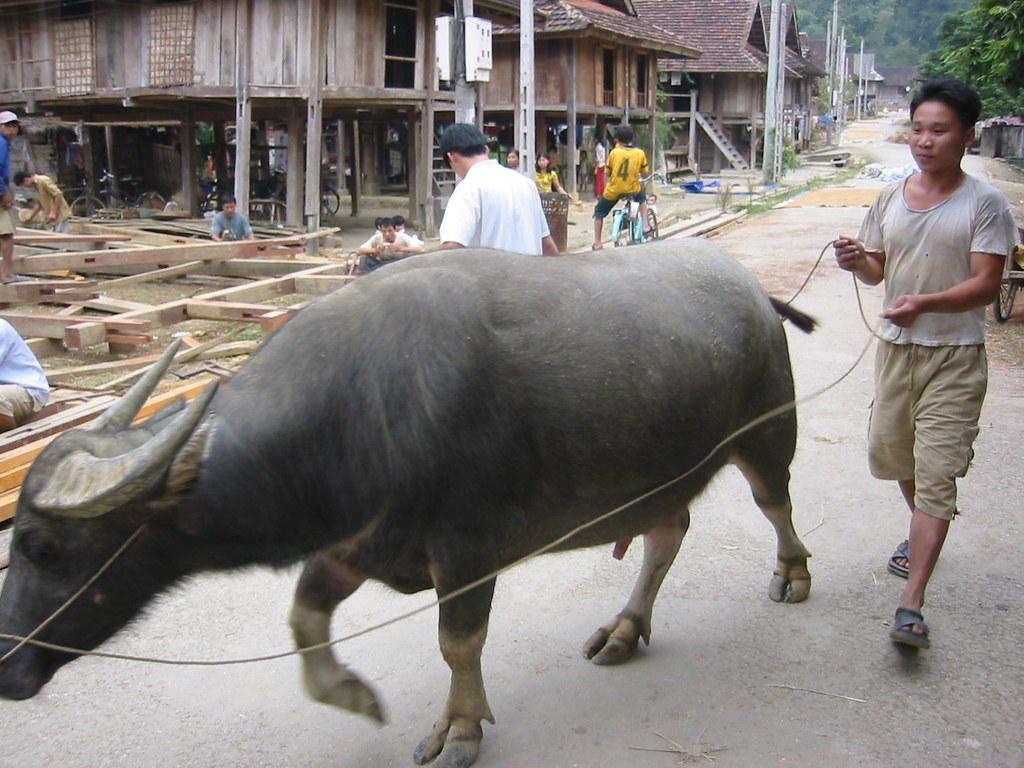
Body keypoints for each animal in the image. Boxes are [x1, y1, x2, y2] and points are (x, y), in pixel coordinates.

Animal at [0, 240, 813, 768]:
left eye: (42, 546)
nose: (8, 670)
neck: (360, 407)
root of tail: (752, 291)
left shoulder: (468, 547)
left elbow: (458, 643)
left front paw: (460, 730)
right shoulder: (356, 545)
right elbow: (303, 620)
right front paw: (354, 695)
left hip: (768, 431)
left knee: (775, 504)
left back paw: (793, 574)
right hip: (658, 474)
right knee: (666, 532)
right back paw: (624, 629)